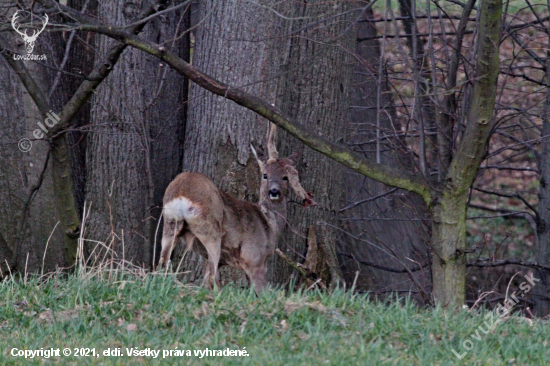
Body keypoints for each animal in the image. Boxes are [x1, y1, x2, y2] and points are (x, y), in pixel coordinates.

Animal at [157, 123, 316, 292]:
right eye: (265, 175)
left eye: (285, 177)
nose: (274, 191)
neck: (269, 225)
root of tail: (182, 193)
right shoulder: (254, 258)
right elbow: (262, 292)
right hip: (210, 230)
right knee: (211, 277)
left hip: (170, 224)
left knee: (162, 265)